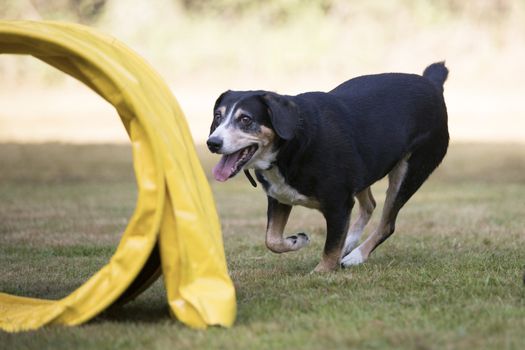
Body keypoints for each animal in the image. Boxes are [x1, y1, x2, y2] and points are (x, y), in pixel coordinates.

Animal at [207, 61, 448, 272]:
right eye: (218, 117)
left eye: (246, 119)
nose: (212, 143)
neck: (292, 146)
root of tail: (432, 83)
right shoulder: (280, 198)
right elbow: (272, 240)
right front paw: (297, 240)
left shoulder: (338, 204)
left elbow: (330, 248)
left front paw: (322, 271)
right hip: (364, 170)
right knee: (369, 205)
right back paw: (349, 242)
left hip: (410, 171)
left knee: (387, 224)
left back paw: (356, 256)